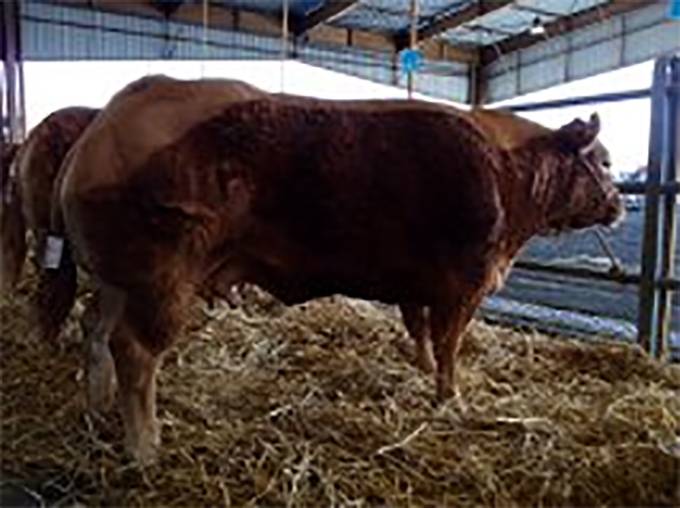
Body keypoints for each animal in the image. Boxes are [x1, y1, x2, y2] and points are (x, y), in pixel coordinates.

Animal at [55, 75, 623, 462]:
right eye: (605, 161)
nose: (618, 206)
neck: (508, 172)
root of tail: (103, 126)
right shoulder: (466, 281)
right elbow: (449, 346)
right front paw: (450, 399)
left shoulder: (421, 284)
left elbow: (419, 331)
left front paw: (420, 371)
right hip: (162, 277)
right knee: (134, 349)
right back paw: (145, 446)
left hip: (116, 276)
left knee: (94, 327)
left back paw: (96, 407)